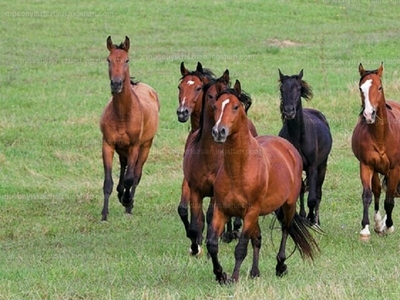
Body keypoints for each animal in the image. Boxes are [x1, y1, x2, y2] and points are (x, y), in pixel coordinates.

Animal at [99, 36, 160, 221]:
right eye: (108, 60)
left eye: (127, 60)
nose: (116, 84)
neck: (122, 114)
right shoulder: (108, 145)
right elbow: (108, 182)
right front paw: (104, 214)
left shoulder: (134, 146)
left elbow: (130, 178)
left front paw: (127, 201)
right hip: (122, 149)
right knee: (124, 168)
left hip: (145, 146)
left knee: (136, 174)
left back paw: (129, 204)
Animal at [206, 79, 318, 284]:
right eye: (216, 106)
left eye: (235, 107)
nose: (219, 132)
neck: (238, 171)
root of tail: (288, 147)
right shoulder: (222, 210)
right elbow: (212, 244)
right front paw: (220, 274)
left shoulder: (250, 212)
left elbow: (241, 247)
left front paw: (233, 277)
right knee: (257, 239)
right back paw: (255, 272)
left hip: (288, 205)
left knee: (285, 229)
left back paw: (280, 265)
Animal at [276, 69, 332, 225]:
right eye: (282, 89)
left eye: (298, 88)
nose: (289, 111)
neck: (298, 137)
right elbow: (299, 190)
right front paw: (302, 216)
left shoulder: (312, 167)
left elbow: (312, 198)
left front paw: (311, 218)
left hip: (322, 166)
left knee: (318, 192)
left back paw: (316, 220)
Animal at [352, 63, 400, 239]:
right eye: (361, 88)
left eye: (380, 87)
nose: (368, 114)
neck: (381, 137)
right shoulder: (366, 165)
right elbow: (367, 195)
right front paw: (365, 228)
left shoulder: (395, 169)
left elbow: (390, 200)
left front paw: (389, 226)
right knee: (378, 191)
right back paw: (379, 223)